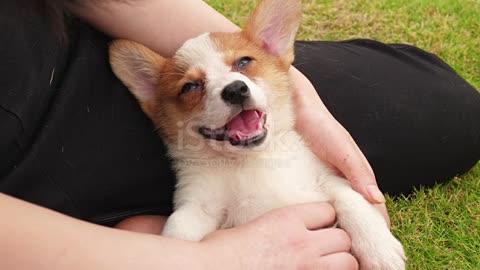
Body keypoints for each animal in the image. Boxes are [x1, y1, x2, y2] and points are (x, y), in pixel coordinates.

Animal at [109, 0, 404, 268]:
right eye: (190, 86)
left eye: (244, 61)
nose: (236, 90)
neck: (250, 161)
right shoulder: (197, 205)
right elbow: (179, 229)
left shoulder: (327, 178)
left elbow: (352, 200)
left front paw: (379, 250)